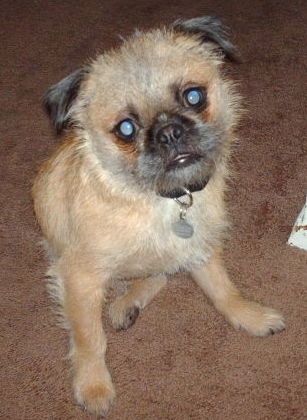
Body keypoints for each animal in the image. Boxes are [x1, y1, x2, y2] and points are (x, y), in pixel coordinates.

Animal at [31, 17, 286, 416]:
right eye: (126, 129)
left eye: (194, 97)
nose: (169, 132)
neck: (160, 199)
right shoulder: (79, 278)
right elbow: (90, 338)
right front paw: (93, 385)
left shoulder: (200, 247)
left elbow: (222, 290)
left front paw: (250, 316)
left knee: (159, 275)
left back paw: (128, 302)